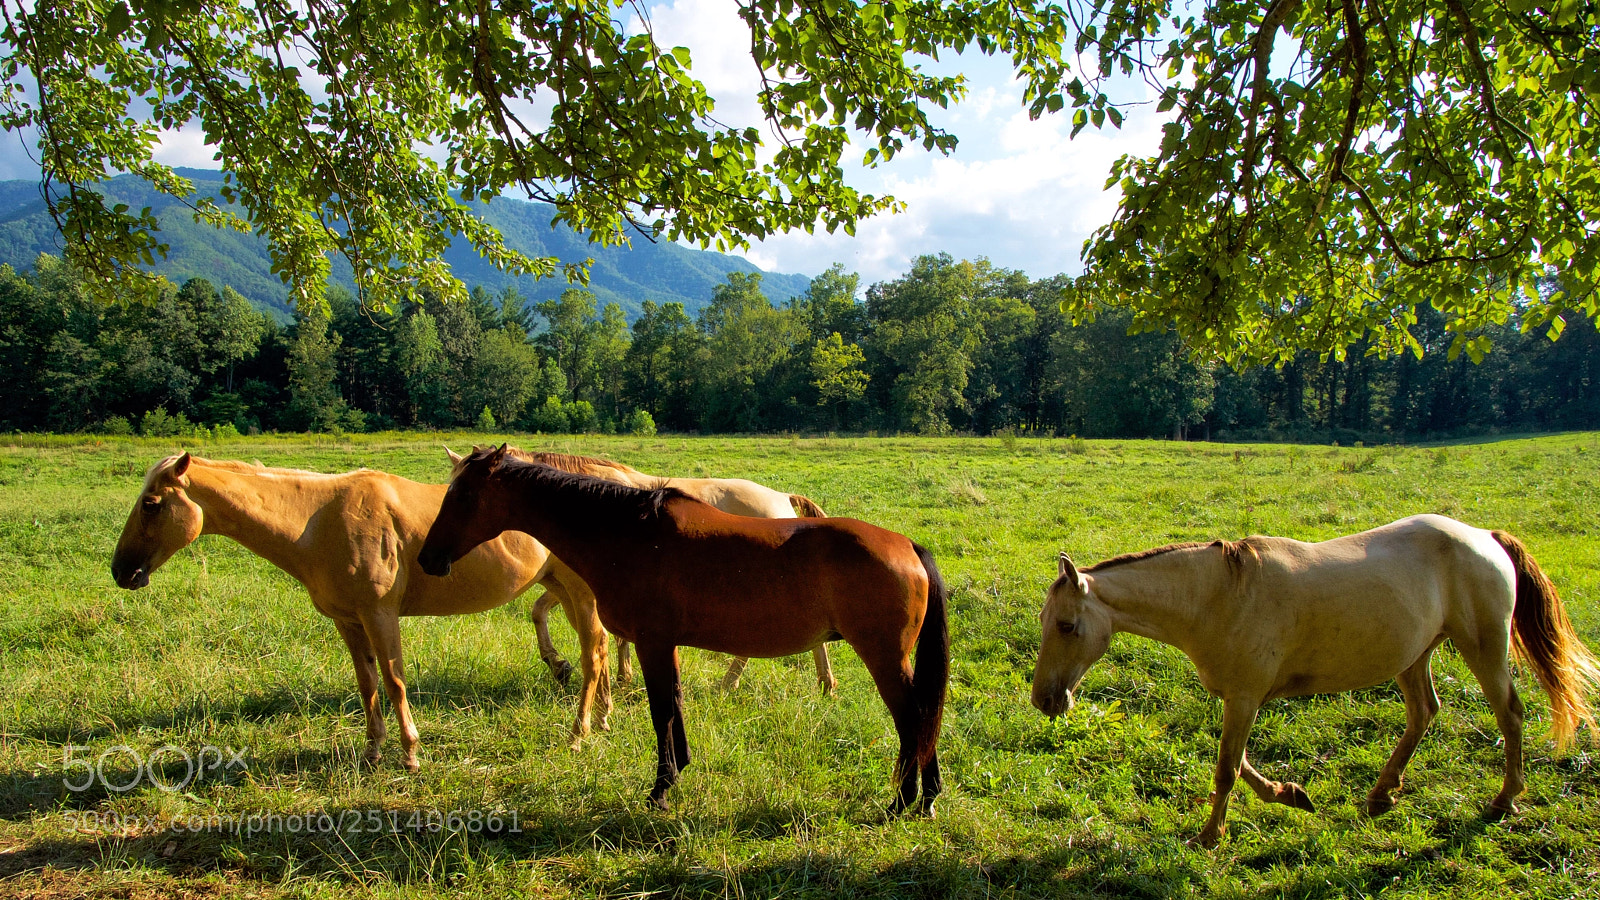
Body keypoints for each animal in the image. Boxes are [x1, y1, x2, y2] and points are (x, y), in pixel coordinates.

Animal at [110, 453, 615, 769]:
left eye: (151, 504)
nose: (121, 570)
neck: (319, 520)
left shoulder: (379, 616)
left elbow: (394, 682)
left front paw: (410, 752)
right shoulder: (348, 621)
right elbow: (368, 683)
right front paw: (373, 750)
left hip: (579, 593)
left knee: (592, 657)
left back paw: (580, 732)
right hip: (562, 589)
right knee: (601, 651)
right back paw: (604, 717)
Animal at [1031, 515, 1599, 848]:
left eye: (1067, 626)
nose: (1044, 700)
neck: (1220, 596)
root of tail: (1486, 538)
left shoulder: (1245, 698)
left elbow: (1226, 769)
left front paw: (1209, 836)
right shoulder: (1241, 697)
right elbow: (1240, 763)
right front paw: (1291, 794)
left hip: (1483, 648)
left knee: (1510, 715)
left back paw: (1503, 802)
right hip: (1414, 654)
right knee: (1424, 712)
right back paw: (1381, 795)